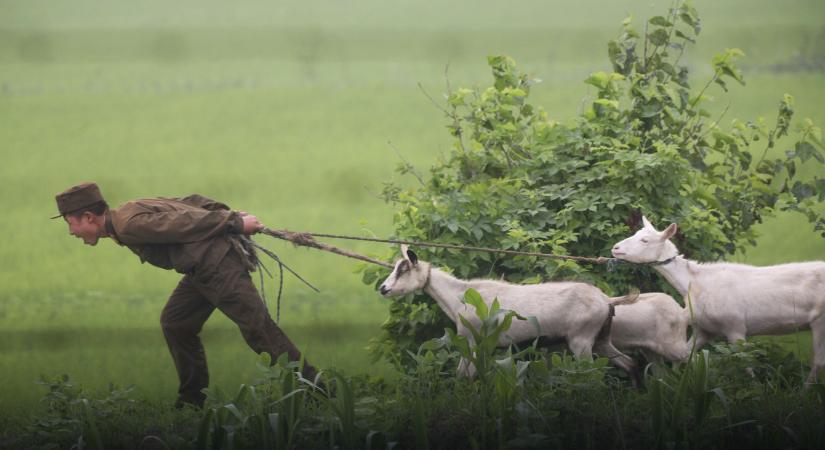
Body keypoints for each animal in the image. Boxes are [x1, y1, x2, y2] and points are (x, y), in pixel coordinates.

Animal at [380, 246, 644, 386]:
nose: (383, 288)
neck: (458, 297)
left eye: (403, 270)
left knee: (591, 376)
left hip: (582, 339)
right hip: (601, 338)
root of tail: (606, 300)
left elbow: (466, 376)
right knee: (630, 363)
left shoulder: (473, 340)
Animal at [612, 216, 824, 384]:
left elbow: (744, 362)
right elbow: (683, 357)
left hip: (820, 320)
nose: (615, 248)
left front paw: (755, 390)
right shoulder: (704, 329)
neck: (695, 285)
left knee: (818, 362)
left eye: (645, 240)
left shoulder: (735, 326)